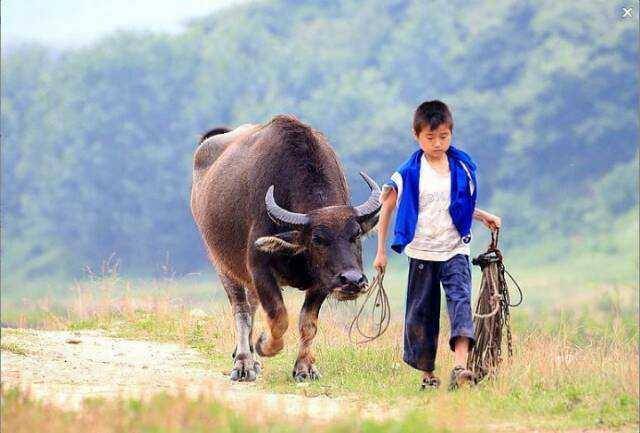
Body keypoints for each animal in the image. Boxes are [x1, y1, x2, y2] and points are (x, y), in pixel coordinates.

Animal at [190, 115, 380, 382]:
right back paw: (244, 362)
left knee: (252, 306)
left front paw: (305, 368)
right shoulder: (259, 268)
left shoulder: (321, 281)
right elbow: (278, 318)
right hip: (224, 266)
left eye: (356, 235)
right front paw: (263, 345)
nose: (352, 281)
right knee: (241, 309)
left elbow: (308, 323)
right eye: (317, 240)